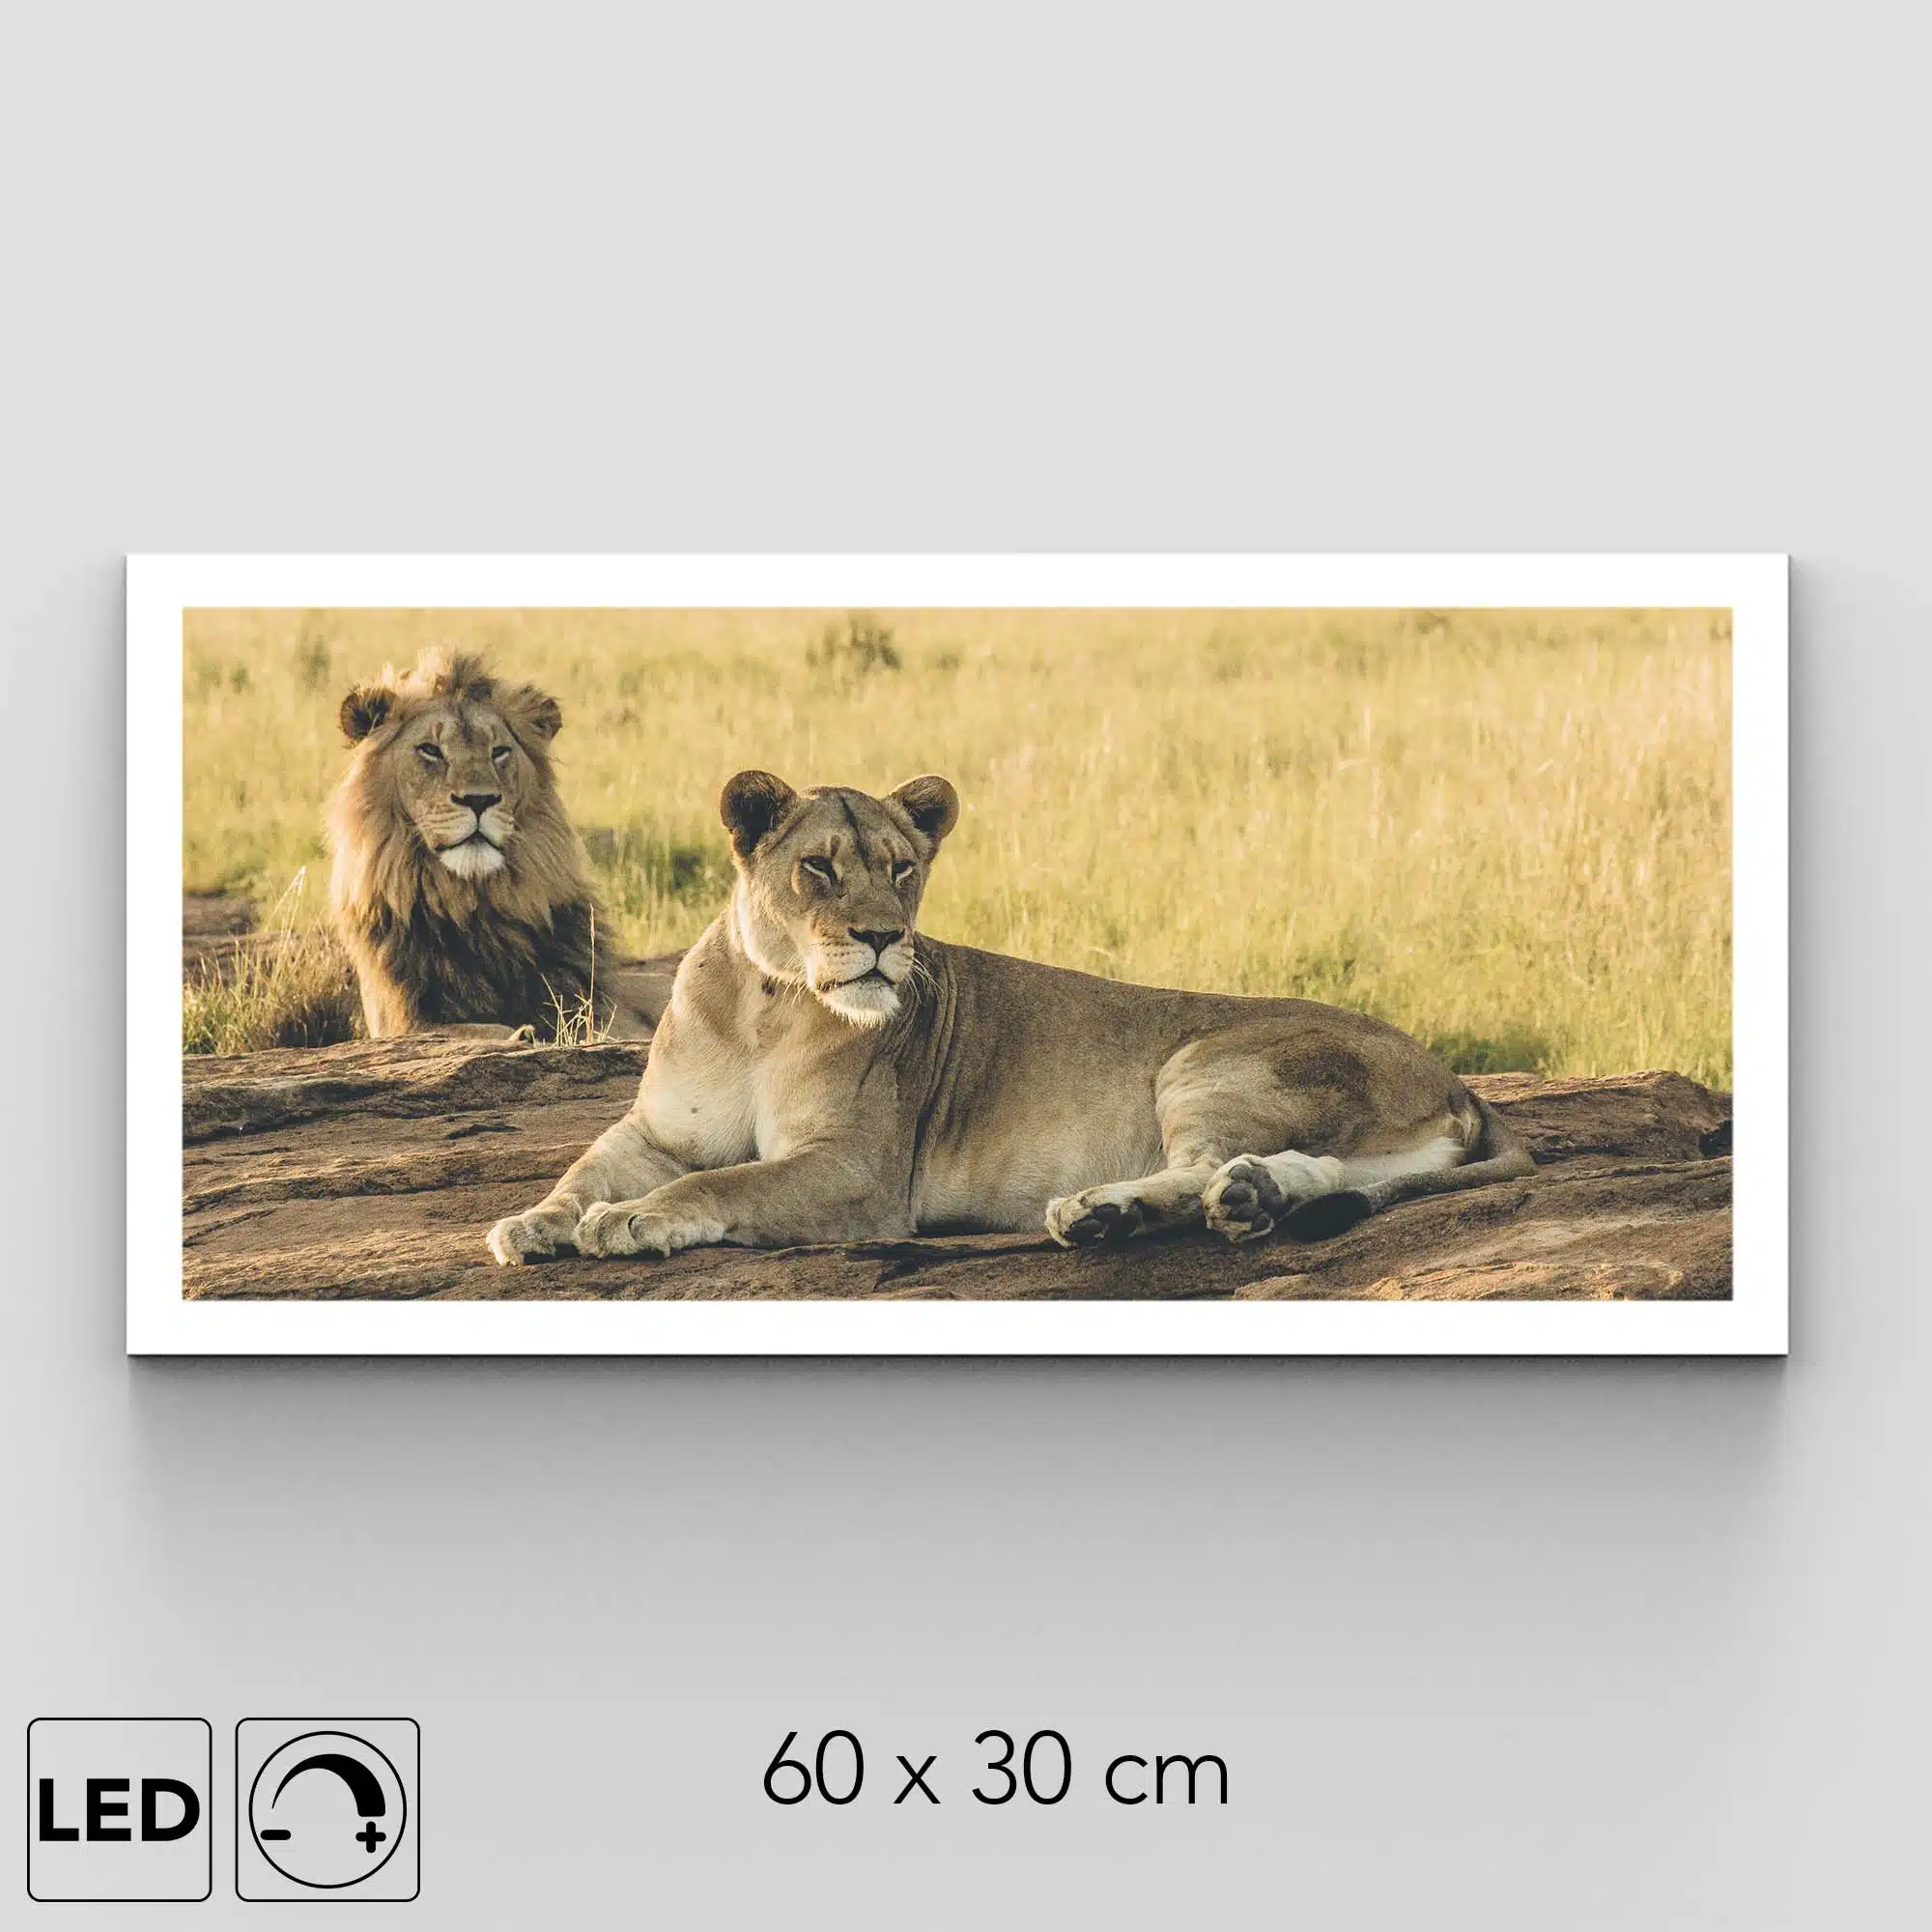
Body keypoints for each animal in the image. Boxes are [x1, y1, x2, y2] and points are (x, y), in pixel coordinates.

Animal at [328, 646, 641, 1040]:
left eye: (499, 751)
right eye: (430, 750)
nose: (479, 800)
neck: (473, 906)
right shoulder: (405, 1020)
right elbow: (469, 1029)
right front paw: (519, 1034)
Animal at [484, 769, 1534, 1267]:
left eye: (902, 868)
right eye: (818, 867)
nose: (882, 936)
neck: (765, 1004)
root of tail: (1456, 1079)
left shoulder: (861, 1173)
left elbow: (724, 1184)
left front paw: (632, 1221)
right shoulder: (654, 1129)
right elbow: (583, 1171)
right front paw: (532, 1222)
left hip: (1207, 1058)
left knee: (1202, 1162)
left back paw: (1106, 1210)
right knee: (1312, 1172)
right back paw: (1235, 1200)